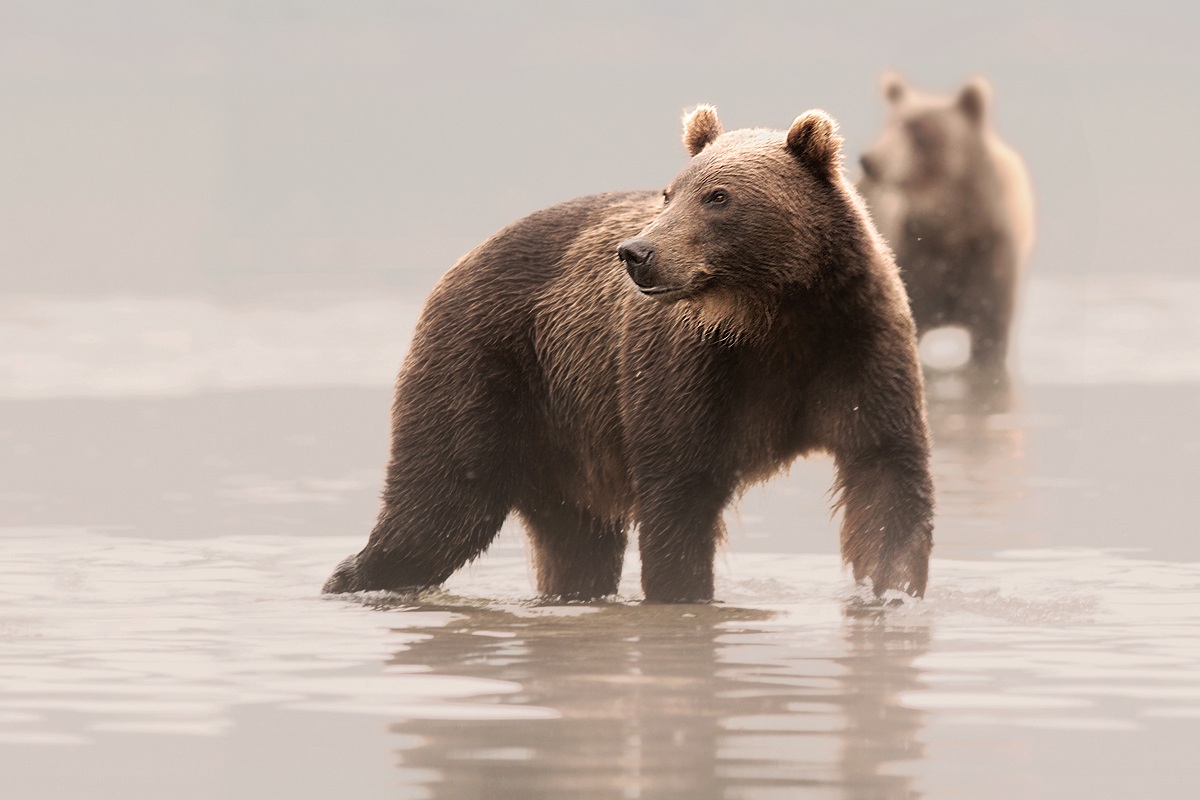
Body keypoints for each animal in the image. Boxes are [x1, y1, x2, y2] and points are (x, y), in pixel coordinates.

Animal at [328, 109, 936, 604]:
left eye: (718, 197)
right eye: (671, 192)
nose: (638, 253)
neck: (774, 316)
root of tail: (458, 264)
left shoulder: (855, 348)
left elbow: (886, 472)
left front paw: (892, 591)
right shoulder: (692, 369)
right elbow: (678, 494)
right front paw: (683, 594)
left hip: (564, 441)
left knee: (575, 542)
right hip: (487, 372)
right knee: (440, 507)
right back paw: (356, 580)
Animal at [859, 72, 1036, 379]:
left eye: (918, 129)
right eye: (890, 124)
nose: (871, 160)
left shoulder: (987, 250)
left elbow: (989, 336)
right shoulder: (917, 253)